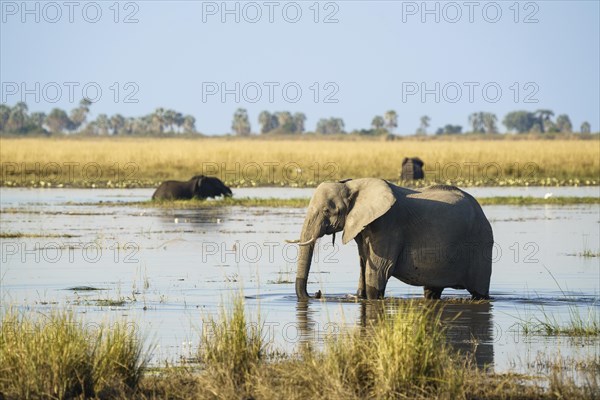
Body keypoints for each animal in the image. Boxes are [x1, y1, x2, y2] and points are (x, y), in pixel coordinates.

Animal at [288, 178, 494, 300]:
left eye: (327, 210)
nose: (317, 293)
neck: (353, 185)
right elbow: (363, 264)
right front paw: (359, 295)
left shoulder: (388, 226)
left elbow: (378, 272)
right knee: (432, 292)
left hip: (480, 244)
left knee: (479, 293)